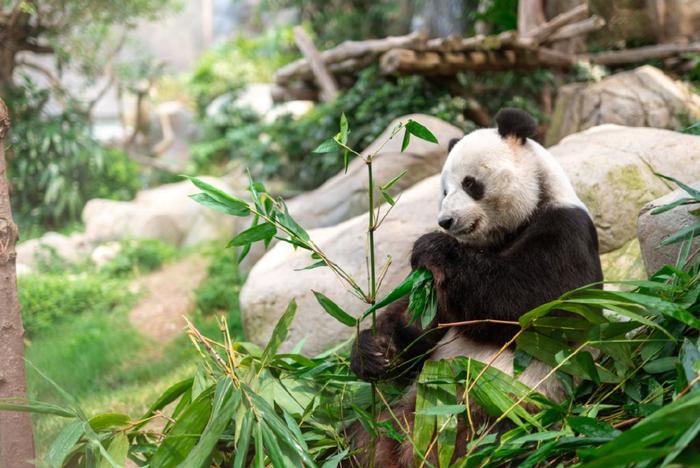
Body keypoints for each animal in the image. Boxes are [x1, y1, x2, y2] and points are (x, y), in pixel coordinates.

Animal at [348, 109, 604, 464]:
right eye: (444, 191)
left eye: (470, 184)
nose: (446, 221)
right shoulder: (442, 290)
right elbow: (418, 322)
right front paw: (374, 350)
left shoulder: (566, 231)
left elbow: (536, 306)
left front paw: (432, 246)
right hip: (403, 413)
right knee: (363, 436)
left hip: (502, 408)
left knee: (477, 437)